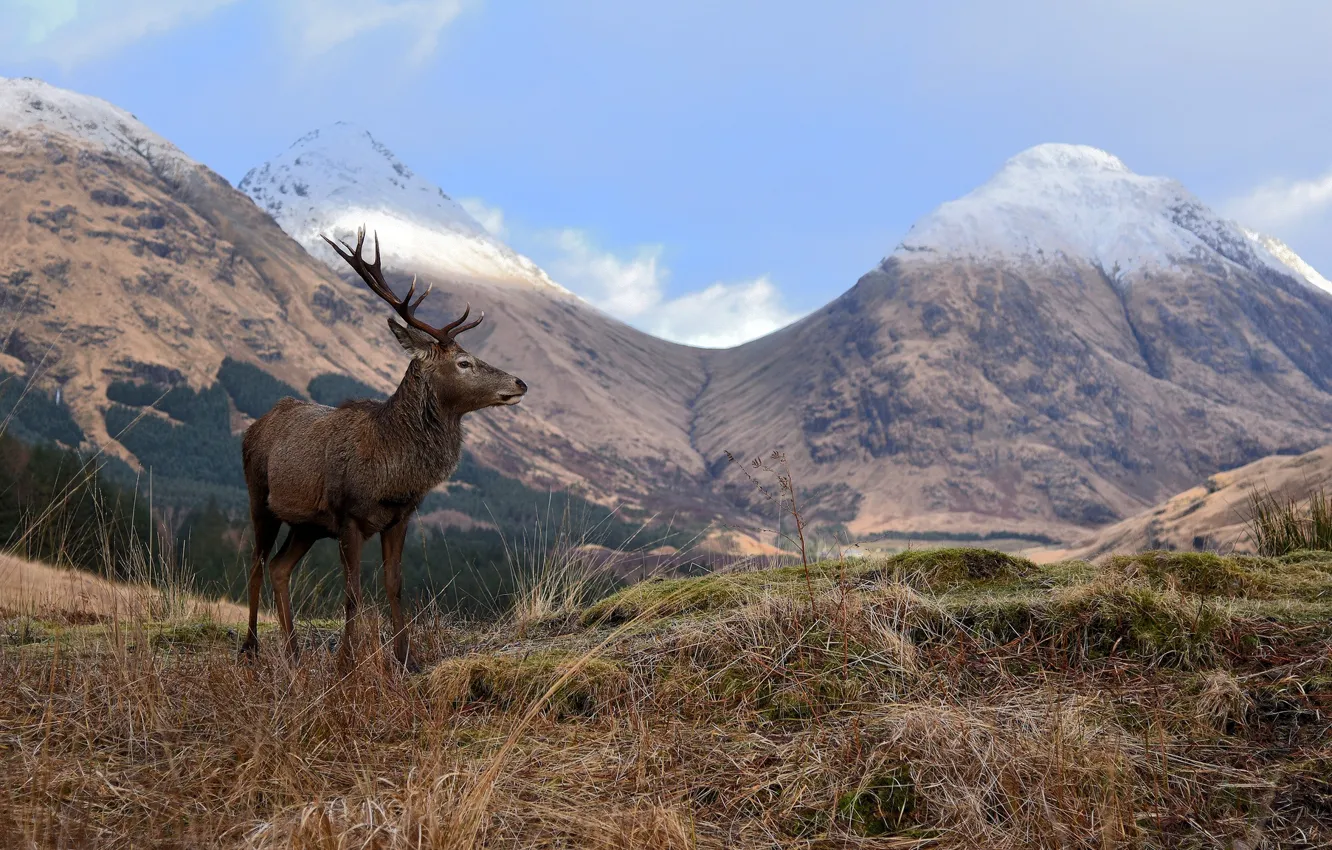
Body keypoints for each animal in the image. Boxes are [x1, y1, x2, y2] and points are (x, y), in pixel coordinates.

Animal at [239, 227, 527, 671]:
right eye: (464, 362)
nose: (519, 383)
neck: (391, 467)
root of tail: (254, 427)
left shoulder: (399, 517)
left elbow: (395, 585)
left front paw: (408, 659)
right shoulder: (348, 515)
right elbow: (353, 593)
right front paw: (346, 663)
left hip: (307, 525)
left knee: (279, 568)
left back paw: (294, 652)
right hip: (260, 498)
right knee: (255, 564)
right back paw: (251, 648)